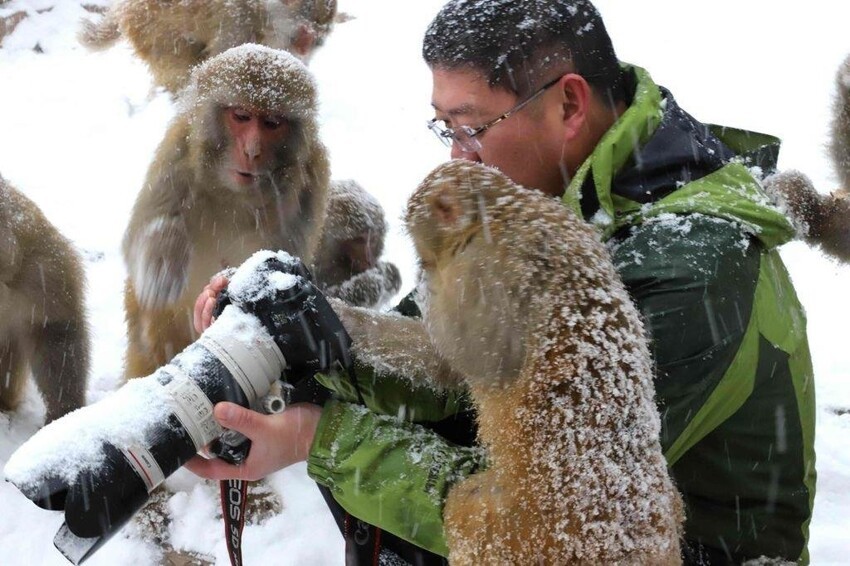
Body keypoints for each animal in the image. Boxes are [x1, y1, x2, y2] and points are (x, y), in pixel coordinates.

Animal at [78, 0, 338, 95]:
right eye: (305, 35)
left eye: (319, 37)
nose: (308, 47)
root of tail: (121, 7)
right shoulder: (236, 23)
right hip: (150, 30)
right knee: (177, 68)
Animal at [314, 179, 402, 308]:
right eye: (359, 239)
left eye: (373, 239)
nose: (369, 260)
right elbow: (328, 295)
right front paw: (370, 284)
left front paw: (389, 273)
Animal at [400, 161, 684, 566]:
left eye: (422, 249)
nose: (421, 267)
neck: (499, 209)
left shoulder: (482, 272)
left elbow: (476, 356)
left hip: (518, 536)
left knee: (464, 512)